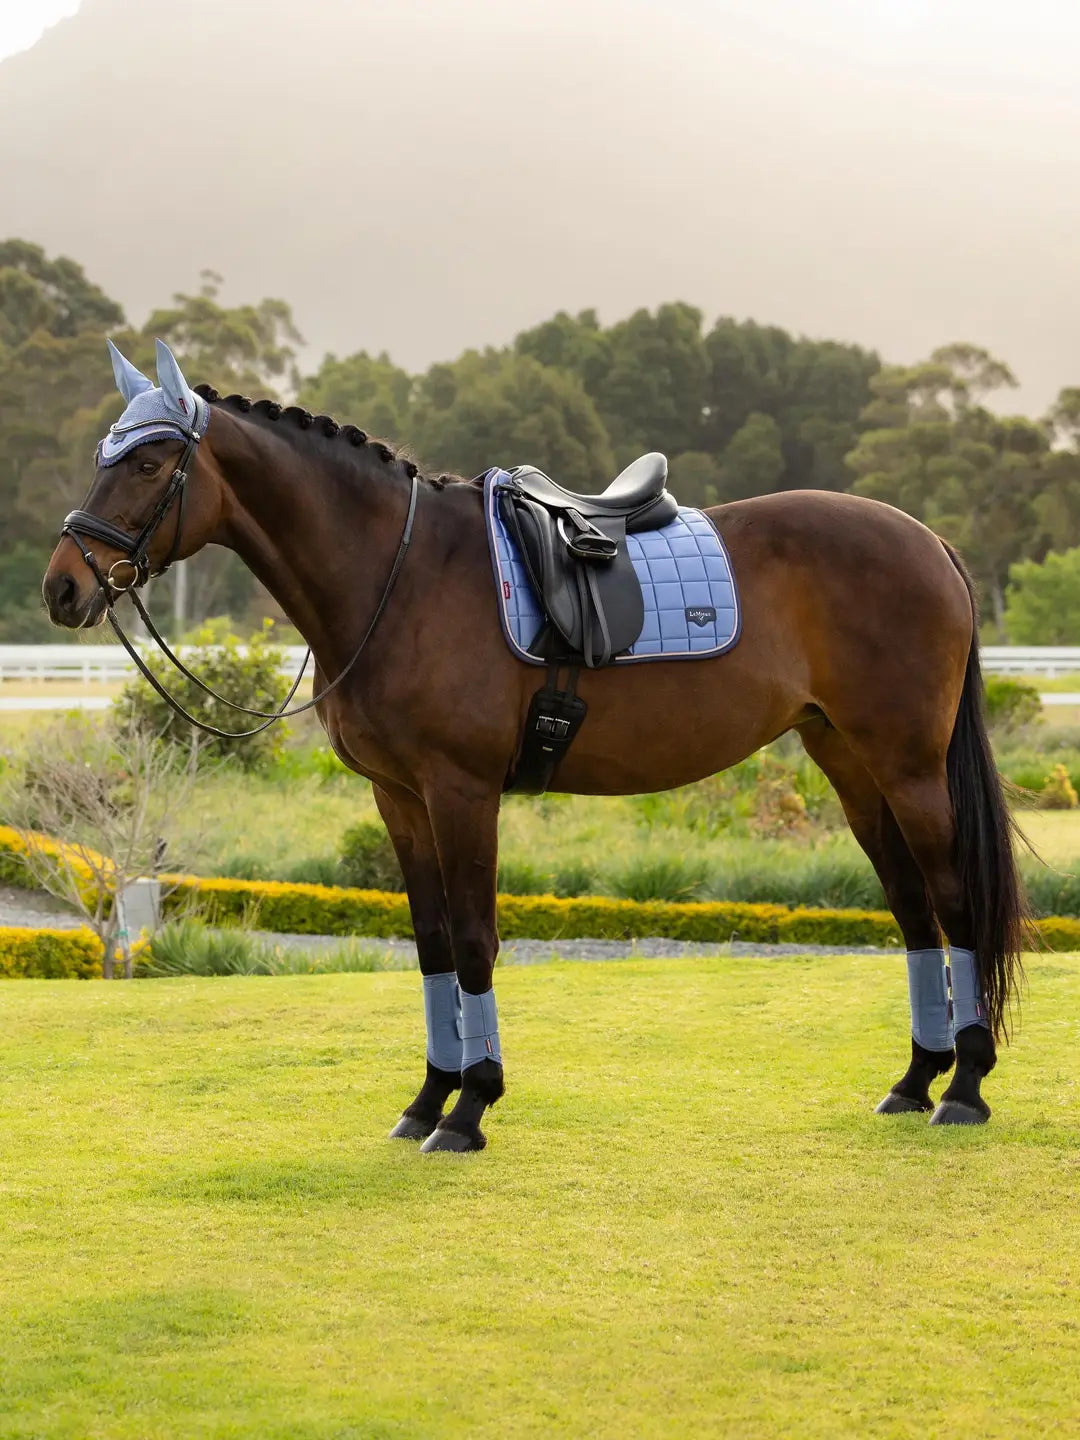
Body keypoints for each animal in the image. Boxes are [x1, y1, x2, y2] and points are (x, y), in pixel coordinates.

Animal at [42, 340, 1028, 1152]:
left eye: (149, 461)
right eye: (104, 458)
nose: (62, 588)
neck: (399, 576)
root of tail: (928, 540)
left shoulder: (461, 791)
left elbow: (477, 941)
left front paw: (471, 1107)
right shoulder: (398, 798)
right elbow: (433, 946)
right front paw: (426, 1101)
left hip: (908, 767)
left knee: (955, 904)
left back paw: (965, 1089)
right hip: (850, 765)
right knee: (913, 911)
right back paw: (915, 1080)